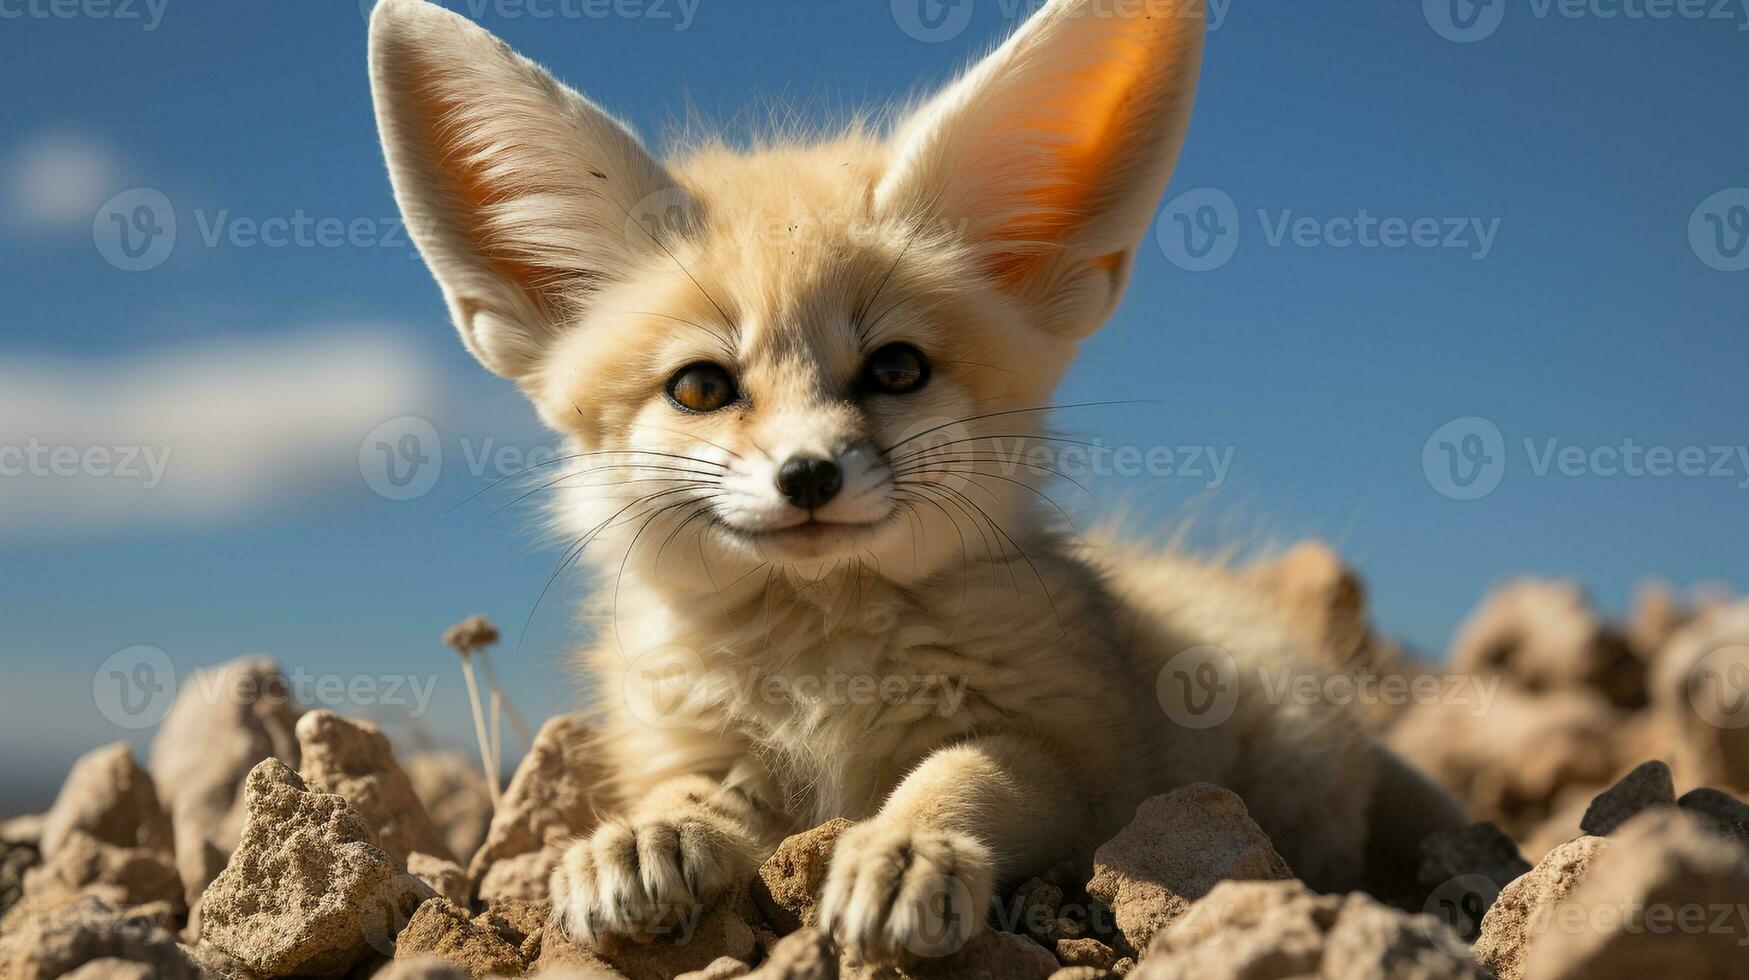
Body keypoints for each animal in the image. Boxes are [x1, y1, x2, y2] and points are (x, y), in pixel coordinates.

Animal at [369, 0, 1462, 966]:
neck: (822, 667)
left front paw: (905, 848)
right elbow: (695, 795)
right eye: (701, 386)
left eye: (895, 370)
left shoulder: (1074, 753)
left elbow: (960, 772)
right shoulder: (692, 743)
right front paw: (641, 840)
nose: (808, 473)